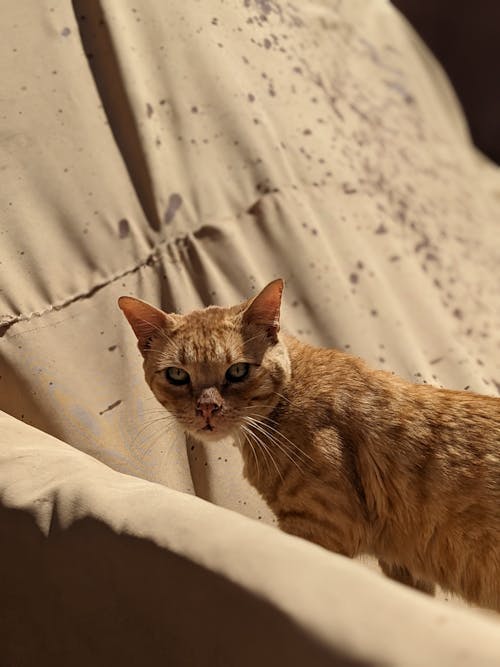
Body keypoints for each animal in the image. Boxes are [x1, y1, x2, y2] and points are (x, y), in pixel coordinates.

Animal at [118, 280, 500, 612]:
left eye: (238, 371)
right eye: (177, 375)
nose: (207, 408)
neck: (286, 399)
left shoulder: (318, 531)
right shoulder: (400, 565)